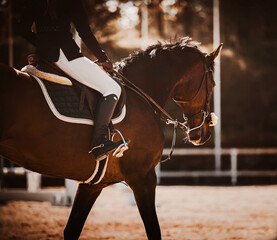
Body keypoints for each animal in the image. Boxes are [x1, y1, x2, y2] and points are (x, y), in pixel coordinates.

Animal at [0, 38, 220, 239]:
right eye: (213, 84)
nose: (204, 133)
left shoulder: (92, 183)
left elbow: (72, 230)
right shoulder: (143, 176)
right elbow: (153, 229)